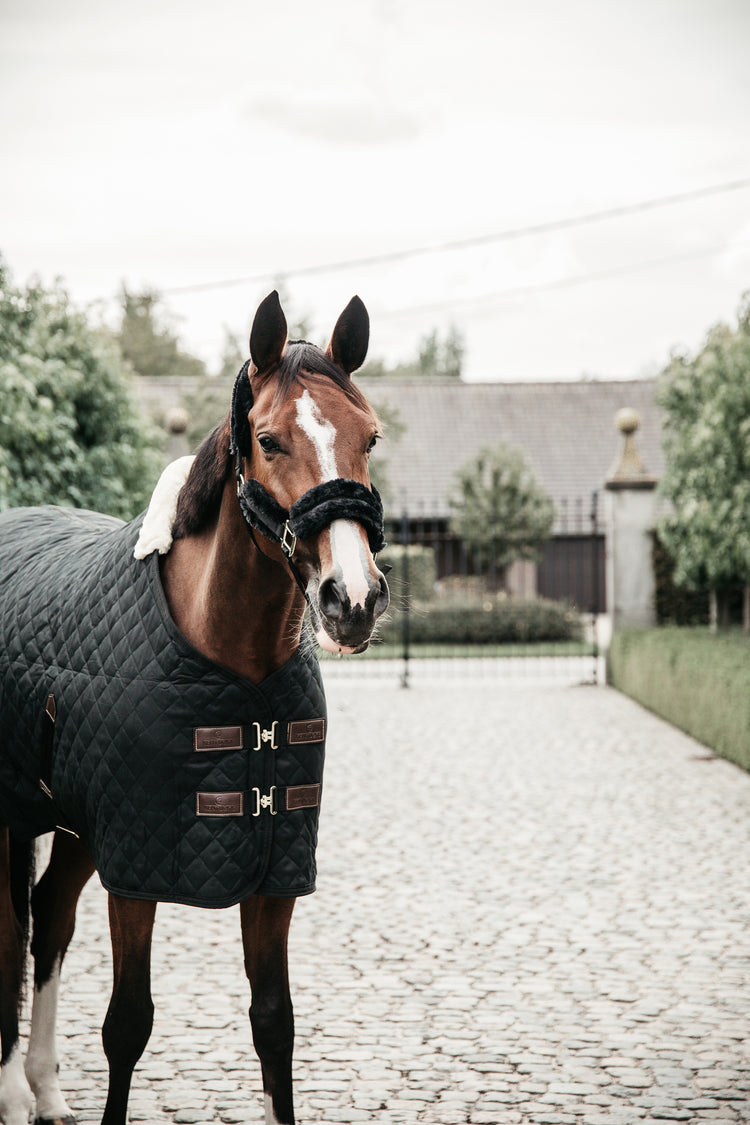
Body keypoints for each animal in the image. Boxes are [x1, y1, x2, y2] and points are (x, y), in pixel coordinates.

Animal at [0, 292, 391, 1125]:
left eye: (369, 435)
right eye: (269, 439)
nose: (353, 599)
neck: (235, 663)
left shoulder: (271, 873)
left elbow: (274, 1024)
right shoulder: (137, 871)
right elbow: (127, 1024)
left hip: (77, 825)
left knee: (49, 919)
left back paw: (46, 1089)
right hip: (15, 819)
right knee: (10, 928)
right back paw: (14, 1090)